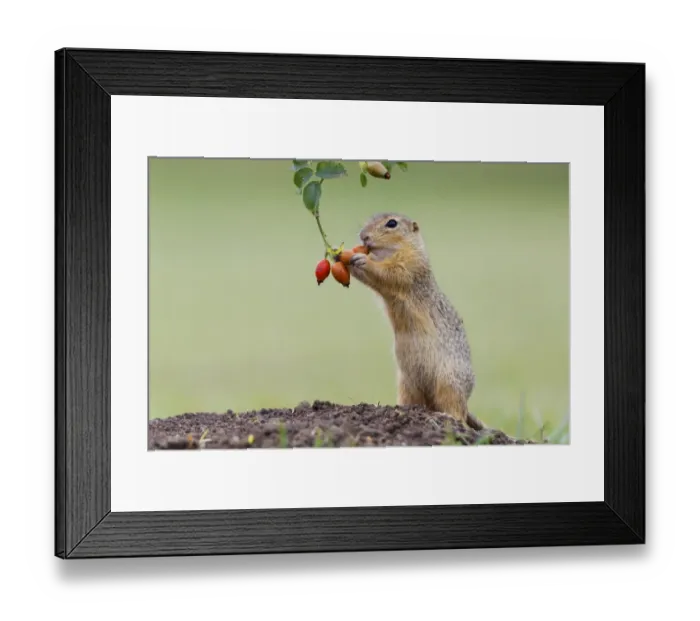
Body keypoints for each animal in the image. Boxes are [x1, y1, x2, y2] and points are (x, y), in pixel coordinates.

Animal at [347, 212, 486, 431]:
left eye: (392, 223)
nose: (363, 236)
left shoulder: (410, 266)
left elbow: (390, 273)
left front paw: (362, 259)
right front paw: (341, 257)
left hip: (447, 384)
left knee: (457, 413)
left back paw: (444, 418)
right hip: (407, 385)